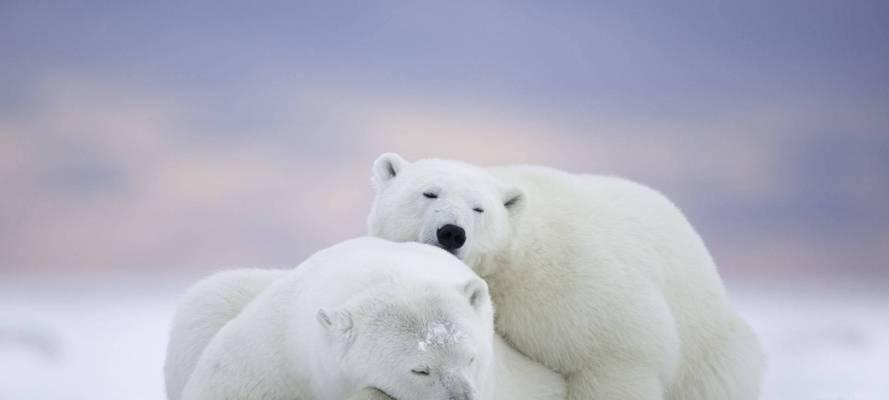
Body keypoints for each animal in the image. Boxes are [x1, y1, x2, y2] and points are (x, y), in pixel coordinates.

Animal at [366, 154, 764, 400]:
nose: (452, 232)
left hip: (709, 350)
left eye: (479, 209)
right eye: (429, 192)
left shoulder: (573, 290)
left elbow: (616, 355)